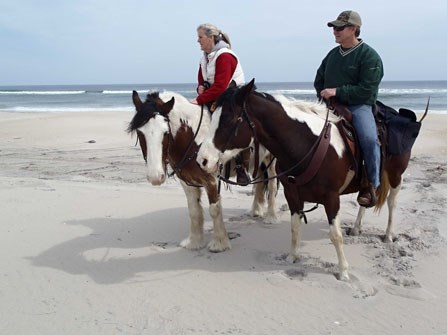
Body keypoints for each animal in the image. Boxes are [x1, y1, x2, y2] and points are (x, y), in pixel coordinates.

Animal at [128, 90, 278, 253]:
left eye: (166, 132)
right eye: (140, 133)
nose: (155, 177)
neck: (192, 137)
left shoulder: (211, 180)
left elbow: (214, 209)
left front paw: (219, 243)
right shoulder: (186, 182)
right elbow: (194, 210)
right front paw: (194, 242)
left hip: (272, 161)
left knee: (272, 185)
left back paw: (271, 217)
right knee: (260, 182)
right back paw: (256, 210)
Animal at [196, 79, 424, 280]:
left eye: (232, 119)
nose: (202, 160)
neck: (306, 143)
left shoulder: (332, 198)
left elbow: (335, 235)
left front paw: (343, 271)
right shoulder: (292, 194)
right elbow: (295, 227)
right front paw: (292, 257)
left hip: (395, 174)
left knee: (392, 202)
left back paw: (388, 235)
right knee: (366, 199)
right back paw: (357, 227)